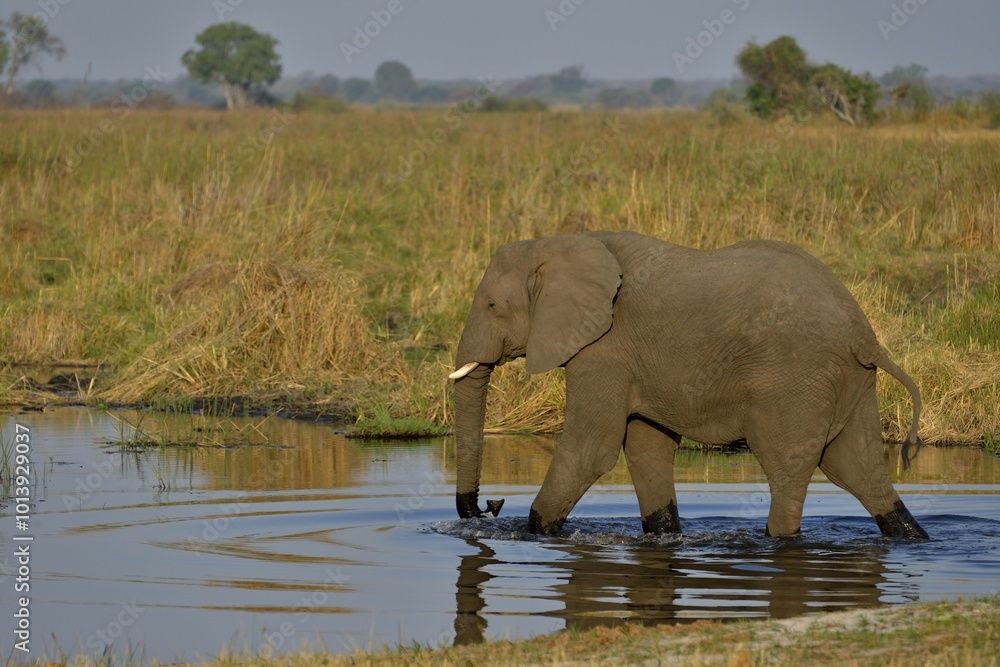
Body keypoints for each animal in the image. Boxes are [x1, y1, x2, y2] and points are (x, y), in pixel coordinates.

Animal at [450, 231, 928, 540]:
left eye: (491, 305)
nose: (489, 507)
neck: (559, 243)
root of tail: (862, 333)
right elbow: (647, 447)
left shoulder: (604, 349)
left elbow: (592, 449)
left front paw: (533, 532)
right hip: (849, 381)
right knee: (859, 469)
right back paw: (912, 538)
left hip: (793, 379)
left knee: (788, 472)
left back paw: (778, 541)